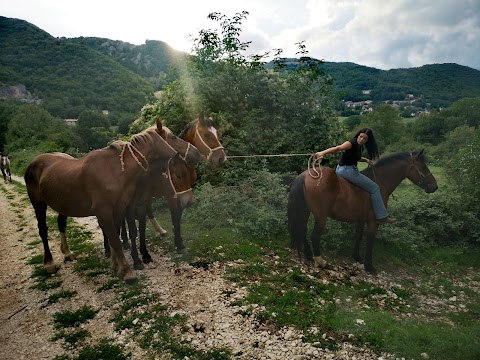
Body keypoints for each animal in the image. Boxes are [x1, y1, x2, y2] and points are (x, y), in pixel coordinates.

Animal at [24, 121, 201, 284]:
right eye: (173, 137)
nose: (197, 153)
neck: (115, 171)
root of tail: (34, 163)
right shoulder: (106, 211)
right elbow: (116, 239)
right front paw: (128, 271)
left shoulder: (119, 209)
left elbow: (116, 235)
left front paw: (117, 266)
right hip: (38, 203)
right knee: (43, 230)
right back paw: (49, 263)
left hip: (64, 205)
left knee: (61, 224)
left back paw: (67, 253)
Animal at [288, 150, 438, 274]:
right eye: (423, 166)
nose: (435, 186)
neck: (379, 183)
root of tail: (304, 176)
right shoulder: (372, 221)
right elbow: (369, 240)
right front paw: (369, 266)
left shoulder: (360, 219)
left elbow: (358, 236)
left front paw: (357, 257)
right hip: (320, 216)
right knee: (314, 235)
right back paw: (319, 261)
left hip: (305, 211)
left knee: (302, 230)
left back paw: (308, 255)